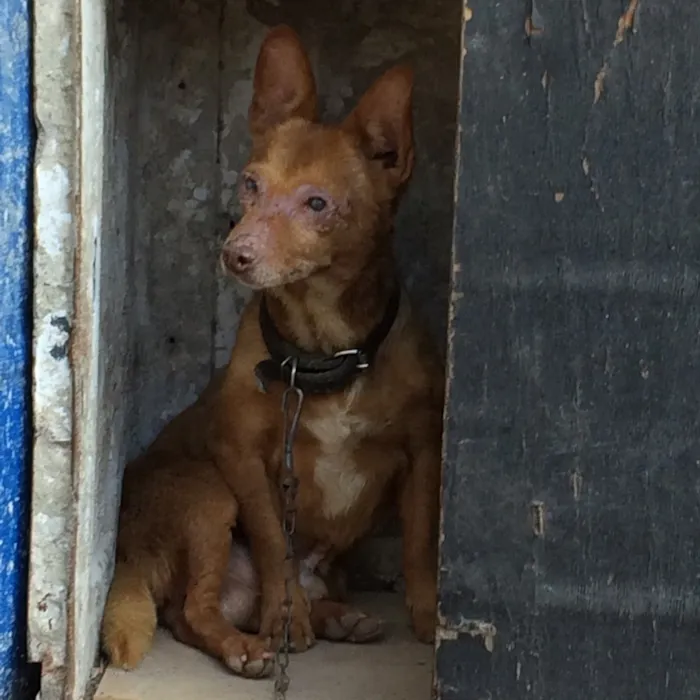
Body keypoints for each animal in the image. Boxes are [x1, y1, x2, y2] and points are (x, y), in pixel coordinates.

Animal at [102, 26, 442, 680]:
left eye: (318, 204)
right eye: (251, 183)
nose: (235, 253)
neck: (324, 349)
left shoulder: (423, 451)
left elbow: (418, 544)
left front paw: (432, 619)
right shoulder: (241, 459)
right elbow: (268, 539)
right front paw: (288, 619)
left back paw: (338, 617)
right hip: (205, 499)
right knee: (193, 611)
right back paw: (248, 645)